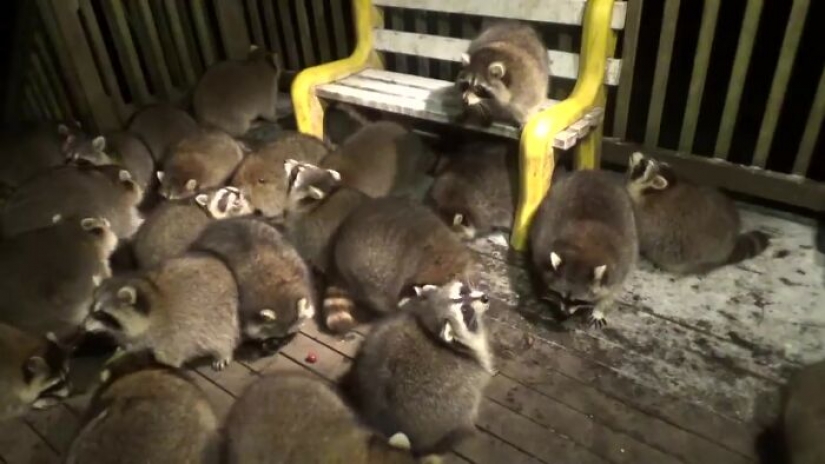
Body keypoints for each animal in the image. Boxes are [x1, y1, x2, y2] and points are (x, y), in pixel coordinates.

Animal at [85, 254, 240, 370]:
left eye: (100, 314)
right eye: (91, 308)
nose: (84, 326)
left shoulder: (174, 334)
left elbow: (168, 359)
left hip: (220, 314)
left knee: (222, 335)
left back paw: (223, 352)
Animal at [530, 170, 637, 328]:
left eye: (579, 301)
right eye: (560, 295)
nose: (564, 314)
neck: (581, 253)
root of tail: (593, 172)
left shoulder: (619, 266)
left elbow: (613, 291)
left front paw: (599, 309)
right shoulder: (542, 248)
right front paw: (547, 294)